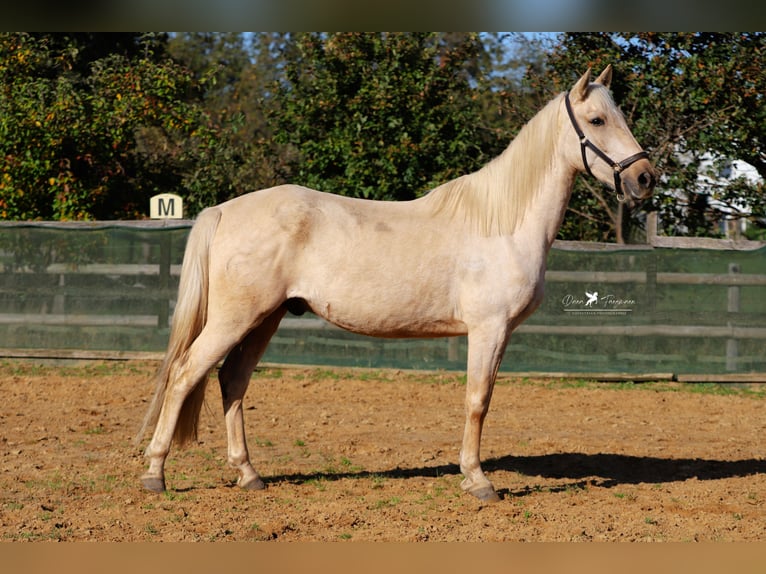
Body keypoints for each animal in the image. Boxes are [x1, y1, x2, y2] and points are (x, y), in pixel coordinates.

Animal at [136, 66, 656, 504]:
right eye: (596, 119)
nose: (645, 178)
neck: (501, 222)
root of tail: (223, 210)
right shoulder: (488, 329)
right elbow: (477, 401)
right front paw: (479, 481)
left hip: (265, 318)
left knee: (232, 381)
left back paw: (248, 474)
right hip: (236, 318)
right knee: (185, 374)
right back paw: (155, 474)